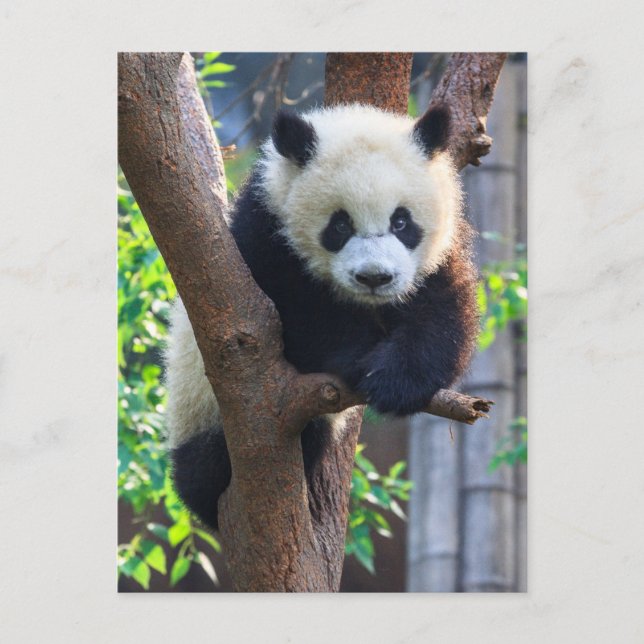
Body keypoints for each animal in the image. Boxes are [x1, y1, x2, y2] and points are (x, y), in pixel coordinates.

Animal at [165, 103, 479, 532]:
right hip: (198, 408)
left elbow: (442, 313)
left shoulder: (438, 254)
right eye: (340, 224)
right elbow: (295, 317)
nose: (375, 277)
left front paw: (396, 381)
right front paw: (360, 360)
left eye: (401, 221)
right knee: (208, 467)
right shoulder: (263, 238)